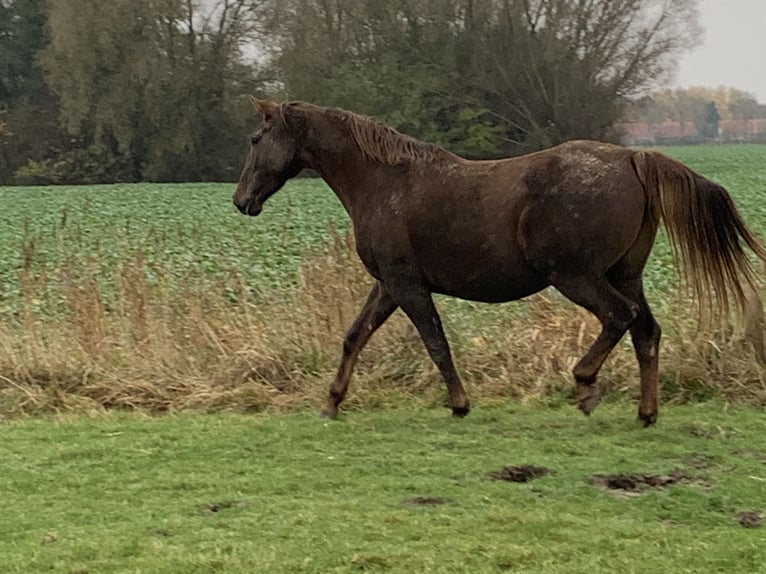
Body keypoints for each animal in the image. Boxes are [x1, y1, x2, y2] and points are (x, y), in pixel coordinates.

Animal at [233, 98, 766, 426]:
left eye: (256, 139)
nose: (241, 201)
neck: (384, 182)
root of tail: (633, 158)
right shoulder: (387, 285)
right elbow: (353, 338)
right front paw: (330, 404)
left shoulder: (407, 286)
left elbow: (435, 343)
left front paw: (460, 404)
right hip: (625, 274)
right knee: (646, 332)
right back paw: (646, 413)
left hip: (577, 277)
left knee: (620, 318)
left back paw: (585, 386)